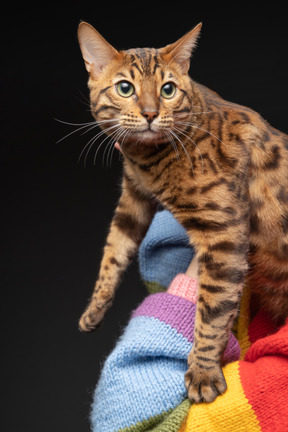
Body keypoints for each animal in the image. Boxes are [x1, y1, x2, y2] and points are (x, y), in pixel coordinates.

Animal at [76, 22, 288, 404]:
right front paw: (95, 308)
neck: (147, 160)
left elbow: (212, 309)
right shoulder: (133, 198)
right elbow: (113, 252)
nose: (149, 113)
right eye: (125, 88)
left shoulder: (224, 234)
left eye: (168, 89)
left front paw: (203, 372)